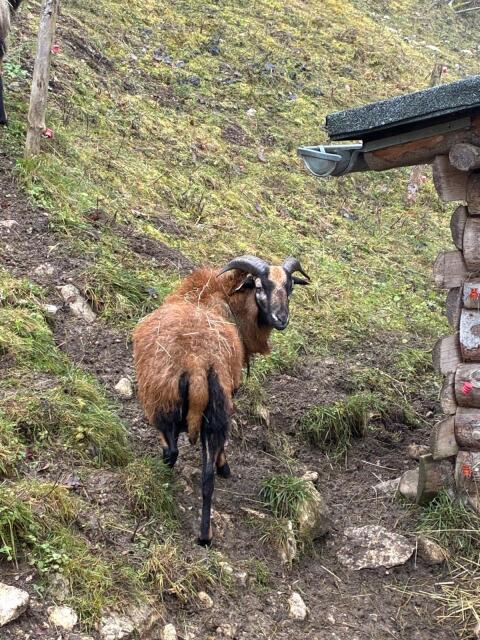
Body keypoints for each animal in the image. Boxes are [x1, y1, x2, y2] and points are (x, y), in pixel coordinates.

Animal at [133, 255, 310, 546]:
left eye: (290, 287)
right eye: (260, 287)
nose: (281, 319)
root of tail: (195, 365)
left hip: (166, 402)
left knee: (174, 452)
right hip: (201, 408)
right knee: (205, 478)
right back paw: (204, 535)